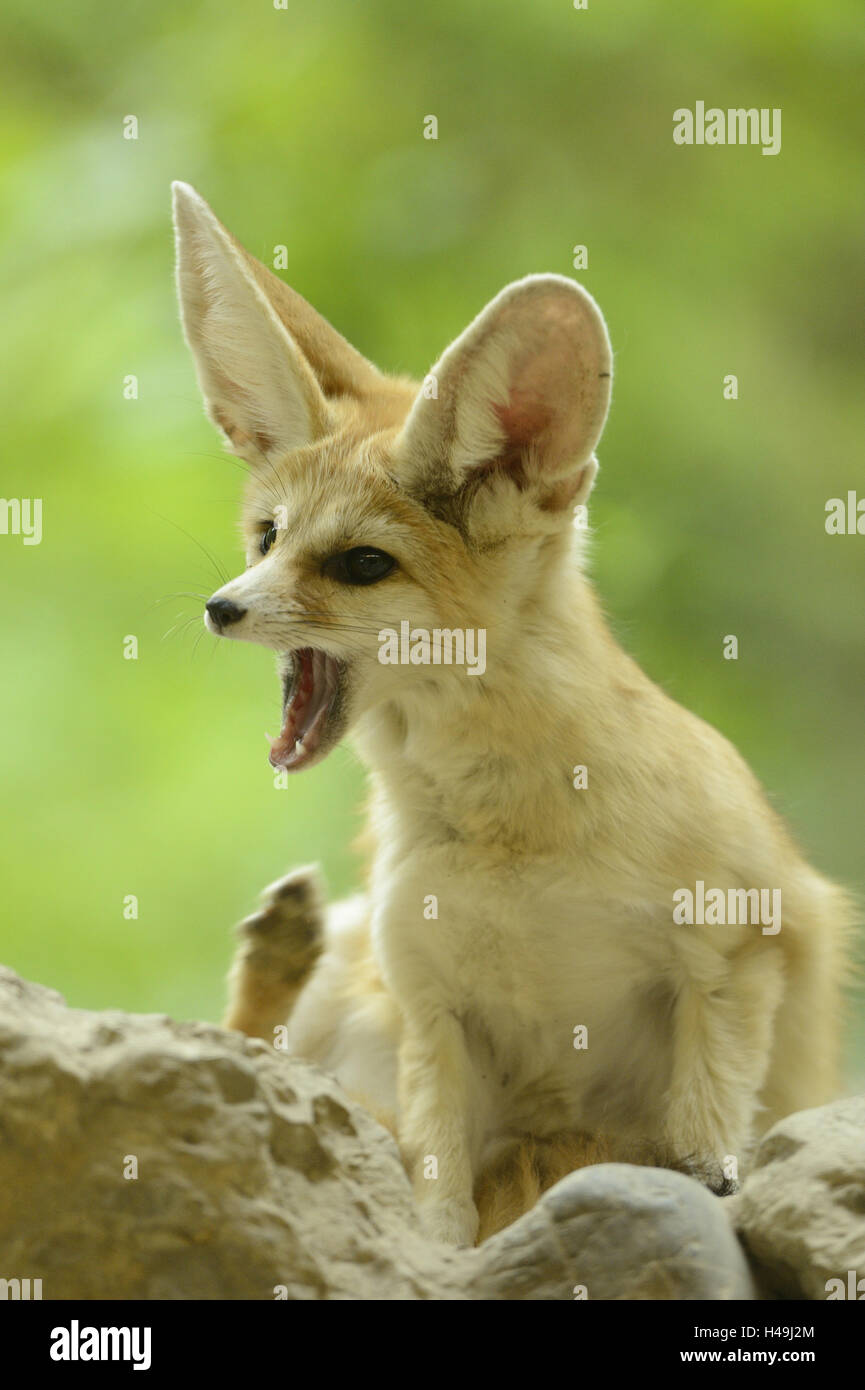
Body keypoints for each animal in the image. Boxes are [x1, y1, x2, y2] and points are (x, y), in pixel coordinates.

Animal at [172, 181, 854, 1247]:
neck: (512, 845)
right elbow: (439, 1210)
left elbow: (706, 1139)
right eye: (267, 537)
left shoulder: (738, 951)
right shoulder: (431, 1007)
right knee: (249, 1045)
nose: (220, 606)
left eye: (360, 564)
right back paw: (278, 946)